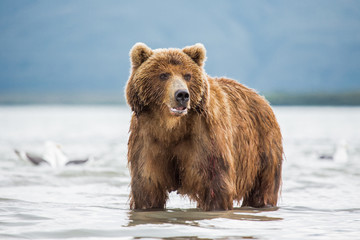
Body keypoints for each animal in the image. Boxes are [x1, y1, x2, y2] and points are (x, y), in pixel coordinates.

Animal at [125, 42, 282, 210]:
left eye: (187, 75)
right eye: (163, 75)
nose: (182, 95)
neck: (172, 127)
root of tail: (261, 98)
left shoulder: (205, 137)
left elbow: (215, 185)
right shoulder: (147, 138)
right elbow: (148, 186)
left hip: (262, 150)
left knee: (263, 188)